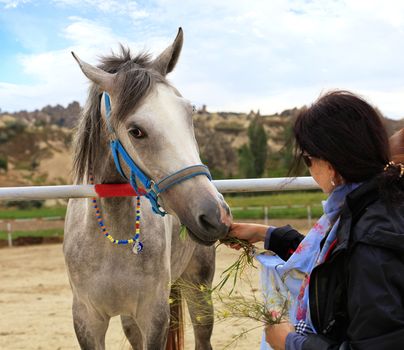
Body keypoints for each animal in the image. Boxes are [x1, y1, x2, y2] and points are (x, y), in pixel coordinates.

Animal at [64, 28, 232, 348]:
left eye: (189, 113)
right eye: (136, 131)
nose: (216, 215)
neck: (113, 237)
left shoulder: (154, 315)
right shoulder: (86, 320)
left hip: (198, 286)